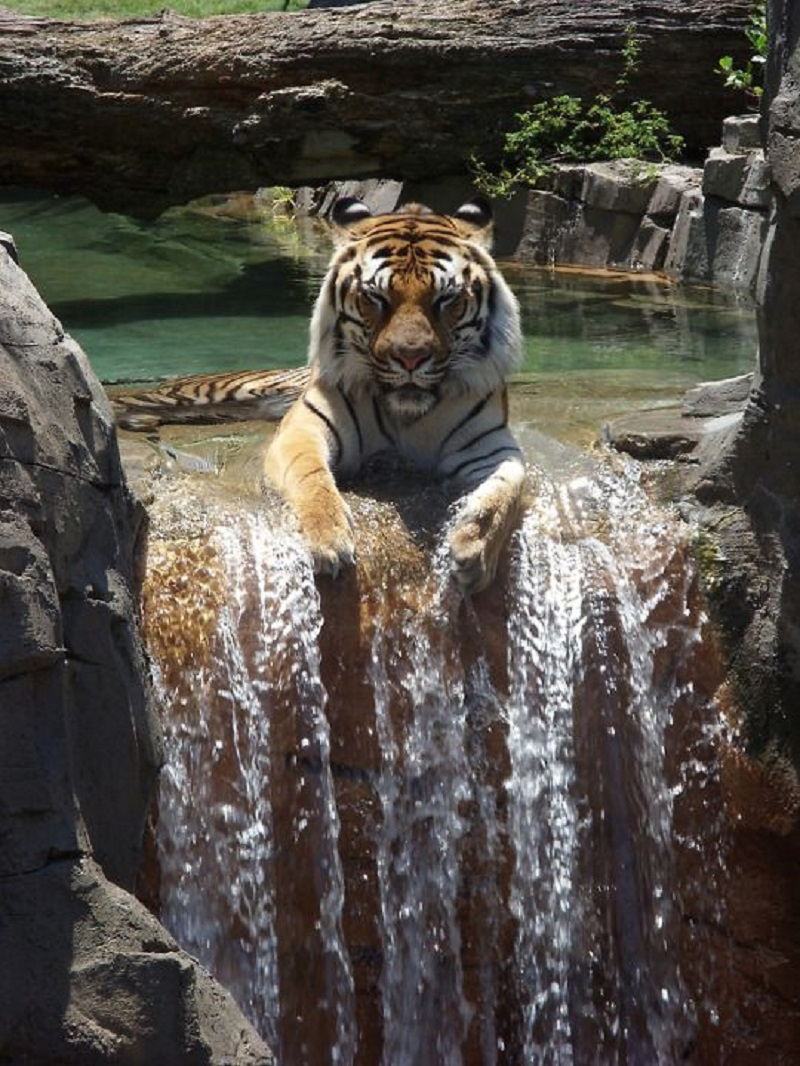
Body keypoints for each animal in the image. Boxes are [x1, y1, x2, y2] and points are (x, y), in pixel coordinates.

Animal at [264, 197, 526, 596]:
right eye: (376, 298)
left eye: (446, 299)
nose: (410, 357)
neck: (405, 413)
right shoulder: (302, 427)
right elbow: (310, 474)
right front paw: (328, 540)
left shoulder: (492, 445)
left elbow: (506, 487)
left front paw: (474, 548)